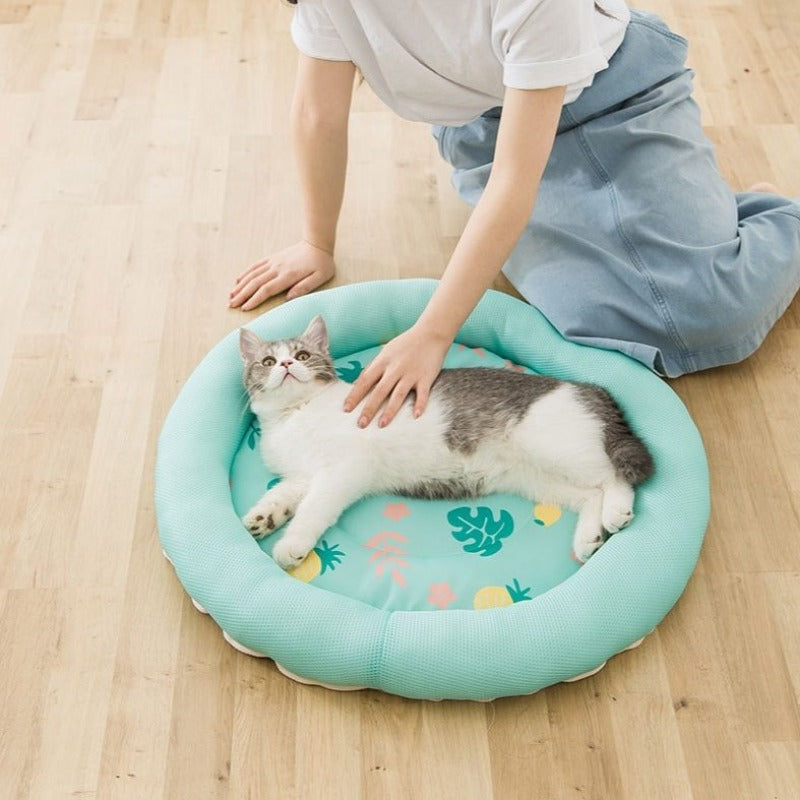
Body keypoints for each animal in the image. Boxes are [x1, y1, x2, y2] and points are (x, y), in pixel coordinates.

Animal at [241, 316, 652, 572]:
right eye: (267, 361)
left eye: (303, 354)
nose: (287, 365)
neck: (295, 413)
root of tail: (589, 388)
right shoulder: (301, 474)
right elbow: (283, 494)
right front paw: (264, 518)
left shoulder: (345, 467)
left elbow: (314, 506)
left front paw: (292, 545)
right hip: (538, 478)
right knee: (590, 494)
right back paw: (588, 536)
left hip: (558, 447)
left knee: (613, 475)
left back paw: (617, 509)